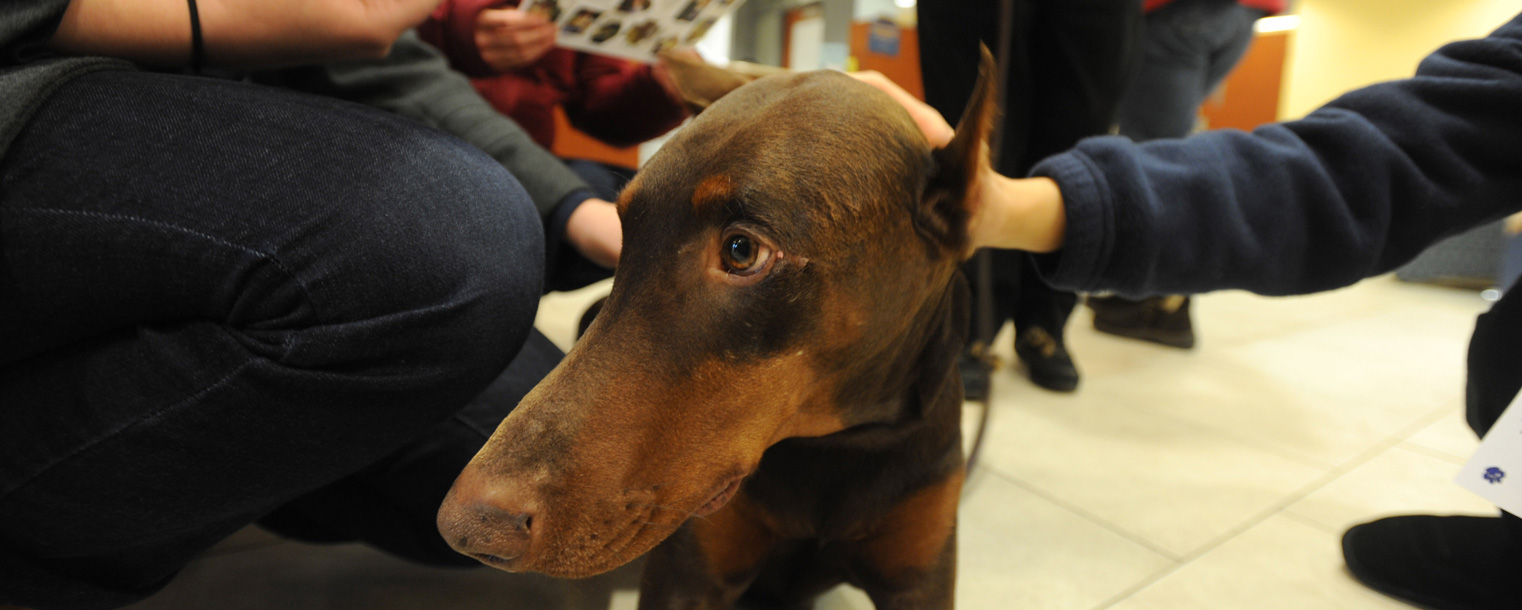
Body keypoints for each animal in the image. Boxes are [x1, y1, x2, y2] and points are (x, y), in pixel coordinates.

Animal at [438, 52, 998, 608]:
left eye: (741, 251)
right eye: (626, 232)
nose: (466, 528)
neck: (836, 445)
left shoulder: (917, 578)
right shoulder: (688, 573)